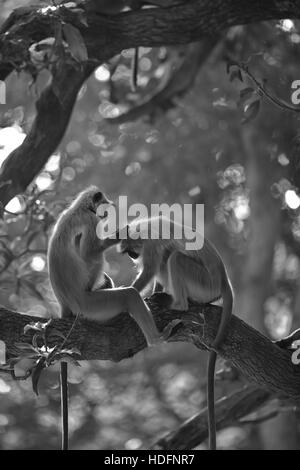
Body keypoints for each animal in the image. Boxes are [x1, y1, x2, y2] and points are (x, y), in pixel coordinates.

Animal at [47, 186, 163, 448]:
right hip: (91, 306)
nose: (109, 208)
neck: (77, 208)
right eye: (104, 203)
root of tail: (66, 303)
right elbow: (89, 250)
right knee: (120, 286)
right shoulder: (89, 220)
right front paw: (120, 234)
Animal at [113, 217, 233, 452]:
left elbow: (149, 270)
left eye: (130, 250)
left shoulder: (150, 242)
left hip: (203, 282)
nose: (132, 256)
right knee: (167, 258)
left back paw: (177, 303)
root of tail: (223, 279)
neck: (144, 225)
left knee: (174, 257)